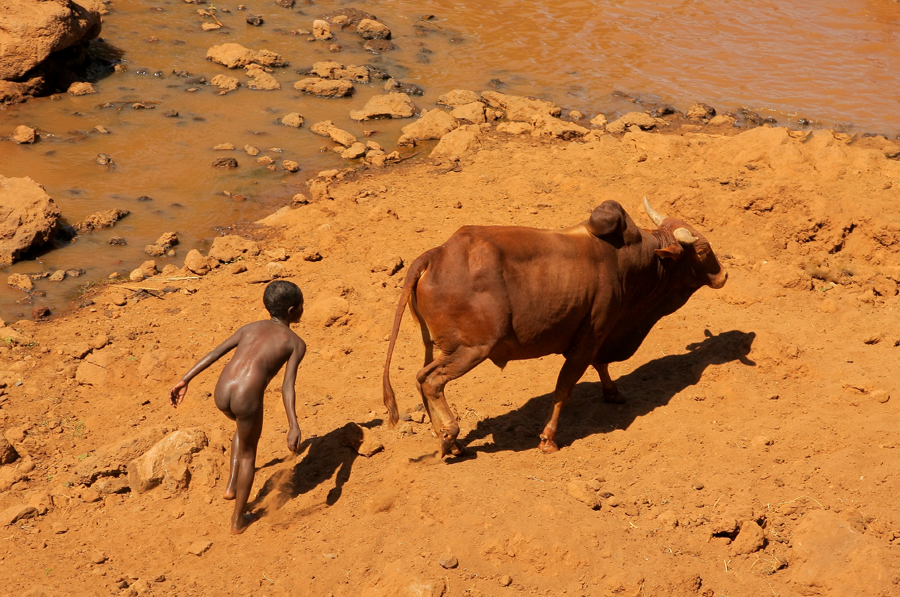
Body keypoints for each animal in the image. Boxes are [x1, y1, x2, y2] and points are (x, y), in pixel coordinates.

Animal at [380, 200, 724, 456]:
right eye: (702, 251)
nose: (723, 275)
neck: (629, 258)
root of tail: (435, 254)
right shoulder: (591, 336)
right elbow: (564, 388)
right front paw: (548, 439)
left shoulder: (597, 335)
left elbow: (600, 365)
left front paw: (612, 393)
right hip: (471, 349)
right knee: (432, 381)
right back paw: (450, 435)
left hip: (441, 347)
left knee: (421, 377)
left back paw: (443, 435)